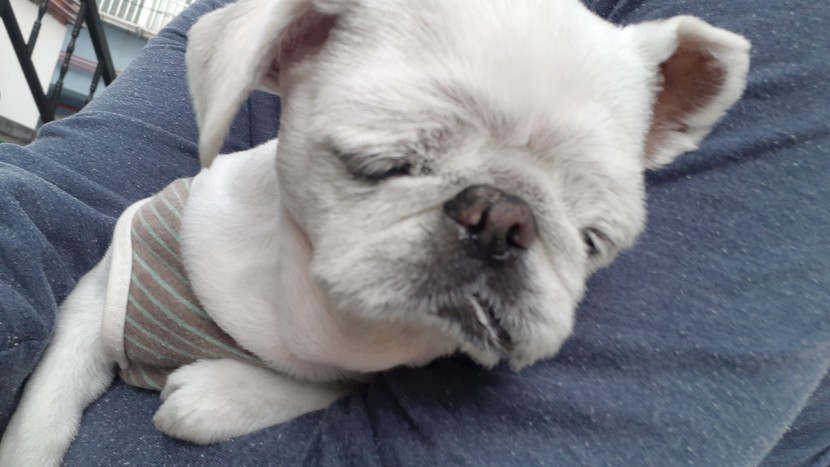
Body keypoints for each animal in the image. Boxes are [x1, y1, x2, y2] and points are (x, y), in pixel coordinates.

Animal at [0, 0, 750, 464]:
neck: (317, 317)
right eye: (381, 165)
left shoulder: (349, 375)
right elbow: (46, 405)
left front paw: (222, 393)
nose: (502, 217)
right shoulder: (100, 299)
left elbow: (314, 388)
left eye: (593, 239)